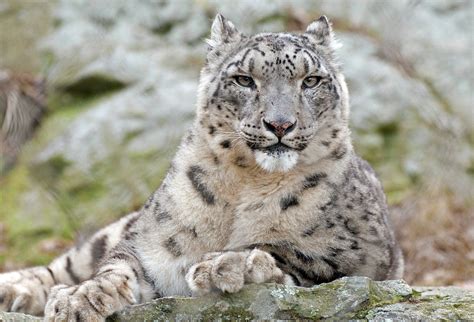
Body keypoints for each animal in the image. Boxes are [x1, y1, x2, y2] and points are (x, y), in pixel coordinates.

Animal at [0, 14, 404, 320]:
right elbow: (118, 266)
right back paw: (15, 290)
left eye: (311, 80)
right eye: (244, 79)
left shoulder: (360, 251)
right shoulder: (150, 245)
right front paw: (80, 299)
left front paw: (227, 265)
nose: (280, 124)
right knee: (70, 261)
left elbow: (290, 250)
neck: (248, 182)